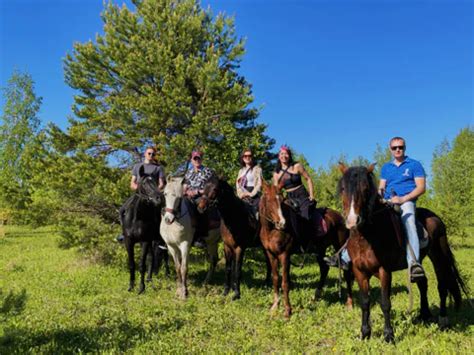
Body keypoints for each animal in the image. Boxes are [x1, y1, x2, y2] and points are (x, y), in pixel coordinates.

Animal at [260, 179, 352, 318]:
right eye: (268, 199)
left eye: (281, 200)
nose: (282, 223)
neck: (271, 230)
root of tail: (340, 217)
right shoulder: (271, 254)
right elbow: (275, 279)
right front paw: (275, 306)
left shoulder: (284, 254)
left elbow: (285, 282)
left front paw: (287, 311)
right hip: (320, 249)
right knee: (324, 269)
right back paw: (316, 297)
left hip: (339, 245)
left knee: (346, 272)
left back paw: (349, 303)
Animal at [338, 163, 468, 342]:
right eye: (343, 188)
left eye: (365, 189)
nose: (352, 221)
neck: (367, 237)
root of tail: (436, 217)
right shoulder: (359, 271)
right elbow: (365, 302)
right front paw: (364, 333)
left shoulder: (384, 271)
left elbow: (385, 303)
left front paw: (388, 335)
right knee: (423, 282)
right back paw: (424, 315)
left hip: (438, 256)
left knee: (442, 285)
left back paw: (443, 319)